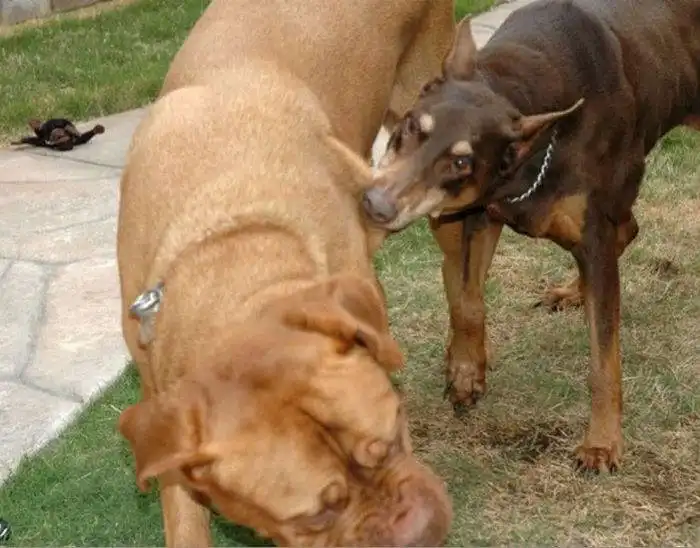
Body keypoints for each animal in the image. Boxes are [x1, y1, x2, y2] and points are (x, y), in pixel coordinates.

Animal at [361, 0, 700, 473]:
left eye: (462, 162)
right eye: (411, 125)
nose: (376, 204)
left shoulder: (592, 234)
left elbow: (604, 358)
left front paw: (602, 443)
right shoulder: (481, 215)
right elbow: (466, 301)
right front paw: (466, 372)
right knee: (627, 228)